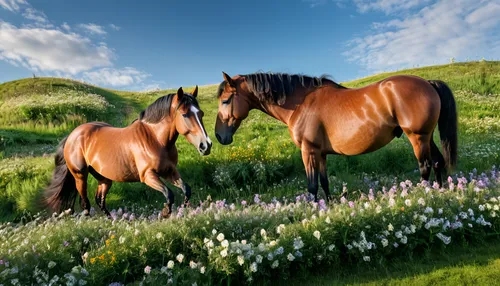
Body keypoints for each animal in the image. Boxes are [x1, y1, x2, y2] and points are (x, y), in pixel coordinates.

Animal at [44, 86, 212, 216]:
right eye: (184, 114)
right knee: (86, 203)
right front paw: (165, 213)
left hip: (104, 178)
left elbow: (186, 189)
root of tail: (73, 135)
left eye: (201, 113)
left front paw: (182, 210)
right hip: (80, 176)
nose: (206, 145)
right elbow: (169, 194)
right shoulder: (148, 176)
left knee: (100, 200)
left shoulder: (169, 171)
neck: (155, 139)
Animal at [215, 71, 458, 201]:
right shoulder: (320, 153)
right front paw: (328, 206)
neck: (300, 103)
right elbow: (324, 182)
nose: (218, 136)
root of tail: (428, 83)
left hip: (417, 137)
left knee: (425, 166)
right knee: (438, 162)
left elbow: (312, 185)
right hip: (428, 137)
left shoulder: (308, 151)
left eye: (226, 100)